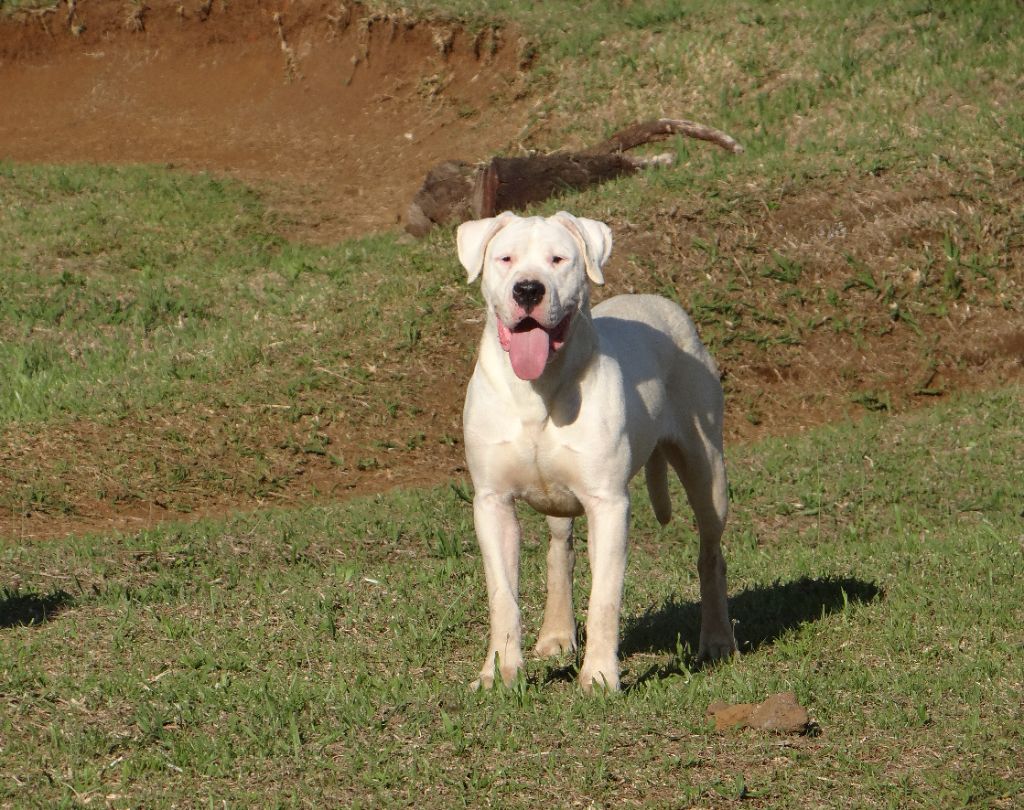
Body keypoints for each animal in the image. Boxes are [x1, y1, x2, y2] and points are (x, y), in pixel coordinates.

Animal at [456, 208, 737, 692]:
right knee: (559, 548)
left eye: (558, 259)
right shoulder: (492, 503)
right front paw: (500, 673)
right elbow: (502, 595)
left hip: (707, 470)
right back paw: (555, 633)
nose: (527, 289)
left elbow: (605, 596)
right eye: (505, 258)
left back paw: (718, 639)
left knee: (710, 552)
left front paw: (601, 677)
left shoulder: (608, 504)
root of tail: (662, 303)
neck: (538, 386)